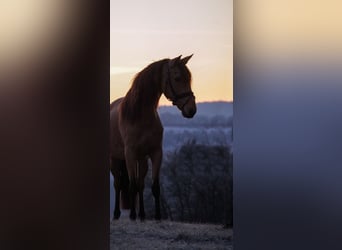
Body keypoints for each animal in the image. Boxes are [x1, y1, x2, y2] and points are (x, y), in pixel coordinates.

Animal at [111, 54, 196, 221]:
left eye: (189, 78)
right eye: (177, 78)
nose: (192, 110)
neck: (140, 116)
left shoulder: (156, 153)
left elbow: (154, 187)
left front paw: (157, 216)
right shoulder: (130, 155)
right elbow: (131, 186)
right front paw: (132, 215)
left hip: (142, 159)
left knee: (140, 184)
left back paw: (142, 215)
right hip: (115, 159)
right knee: (118, 184)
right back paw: (117, 214)